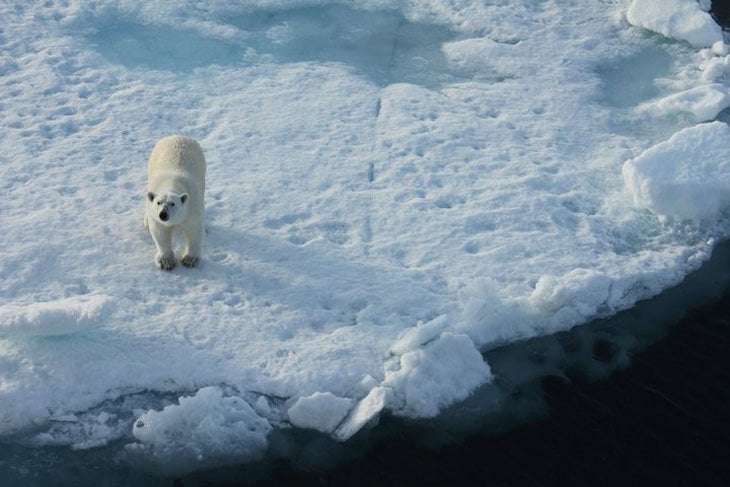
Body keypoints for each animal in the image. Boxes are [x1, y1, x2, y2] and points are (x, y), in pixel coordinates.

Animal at [144, 135, 205, 270]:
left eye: (173, 204)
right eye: (158, 202)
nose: (163, 214)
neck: (172, 182)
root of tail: (178, 136)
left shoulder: (191, 208)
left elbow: (194, 230)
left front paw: (190, 260)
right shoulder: (155, 217)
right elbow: (160, 232)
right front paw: (166, 262)